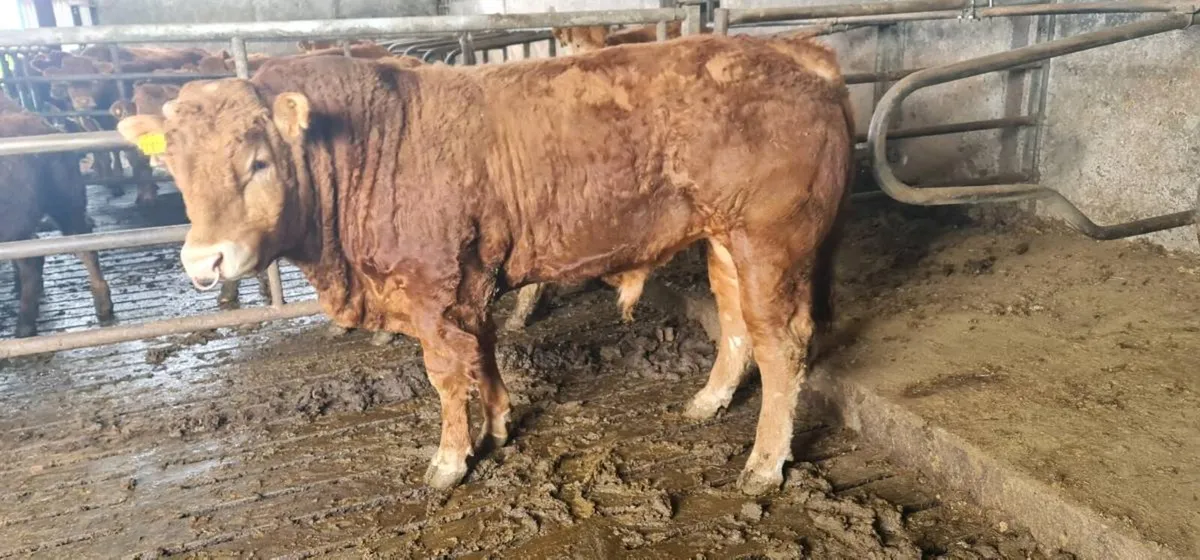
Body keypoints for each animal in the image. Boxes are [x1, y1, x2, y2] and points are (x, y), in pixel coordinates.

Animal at [115, 33, 853, 495]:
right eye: (172, 163)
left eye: (259, 160)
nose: (205, 261)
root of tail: (794, 50)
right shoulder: (469, 283)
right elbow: (485, 352)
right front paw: (498, 424)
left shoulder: (434, 287)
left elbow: (446, 374)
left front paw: (450, 458)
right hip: (726, 241)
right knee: (736, 322)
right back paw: (707, 400)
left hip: (772, 242)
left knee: (783, 343)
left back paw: (764, 463)